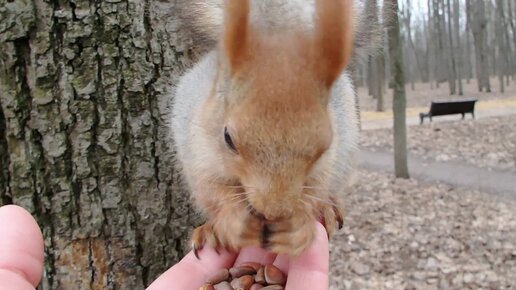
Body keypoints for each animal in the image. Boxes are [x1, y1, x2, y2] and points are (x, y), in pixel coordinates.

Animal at [170, 0, 382, 258]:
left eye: (325, 145)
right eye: (228, 138)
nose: (274, 211)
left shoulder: (327, 163)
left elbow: (316, 187)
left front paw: (297, 228)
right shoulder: (198, 151)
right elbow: (212, 189)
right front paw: (236, 221)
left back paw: (328, 208)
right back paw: (209, 231)